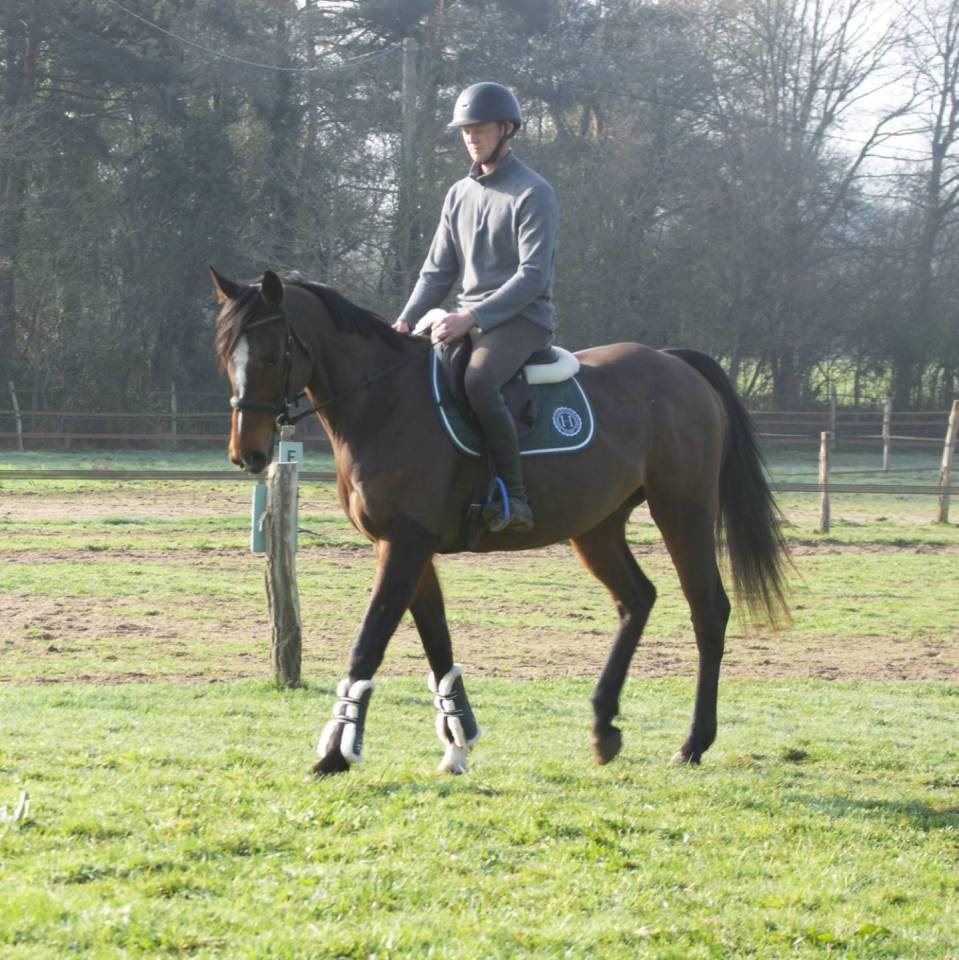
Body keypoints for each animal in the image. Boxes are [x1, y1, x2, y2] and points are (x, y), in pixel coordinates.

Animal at [211, 267, 789, 776]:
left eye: (270, 355)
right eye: (225, 355)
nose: (247, 454)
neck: (386, 403)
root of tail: (674, 363)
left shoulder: (405, 545)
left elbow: (368, 643)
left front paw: (336, 753)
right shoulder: (405, 549)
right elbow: (438, 643)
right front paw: (458, 743)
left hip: (682, 511)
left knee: (708, 611)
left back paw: (693, 743)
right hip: (597, 527)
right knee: (637, 599)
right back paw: (604, 726)